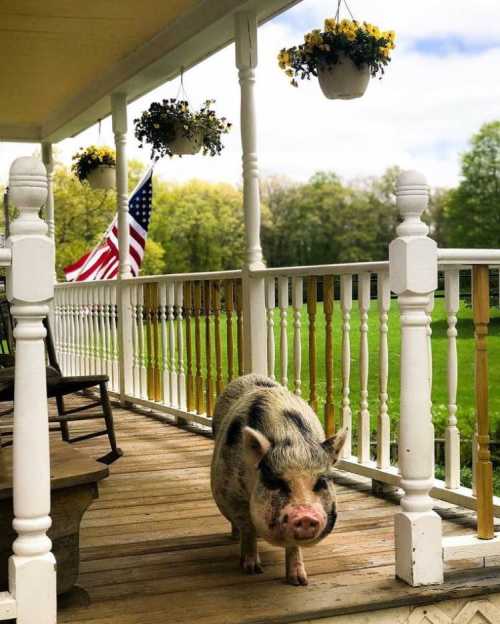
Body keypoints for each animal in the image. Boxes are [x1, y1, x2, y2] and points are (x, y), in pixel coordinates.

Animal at [209, 376, 346, 584]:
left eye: (321, 482)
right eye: (276, 481)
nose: (305, 516)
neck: (293, 442)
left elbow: (293, 546)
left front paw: (299, 581)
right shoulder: (230, 493)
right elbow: (247, 527)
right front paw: (252, 569)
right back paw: (234, 537)